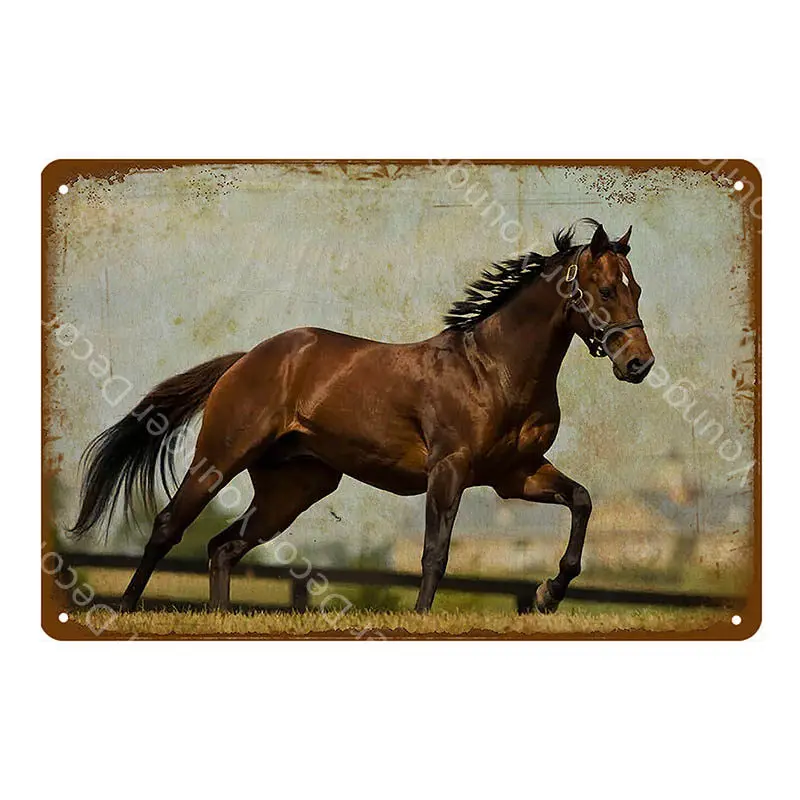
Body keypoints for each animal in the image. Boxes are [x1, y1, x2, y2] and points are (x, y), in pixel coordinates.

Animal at [69, 218, 654, 614]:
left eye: (638, 288)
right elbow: (435, 552)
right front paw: (423, 617)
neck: (493, 369)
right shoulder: (450, 469)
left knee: (223, 546)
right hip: (220, 457)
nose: (639, 363)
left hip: (295, 487)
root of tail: (247, 359)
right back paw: (125, 610)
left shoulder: (515, 475)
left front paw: (548, 593)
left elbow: (581, 500)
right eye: (606, 289)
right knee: (169, 526)